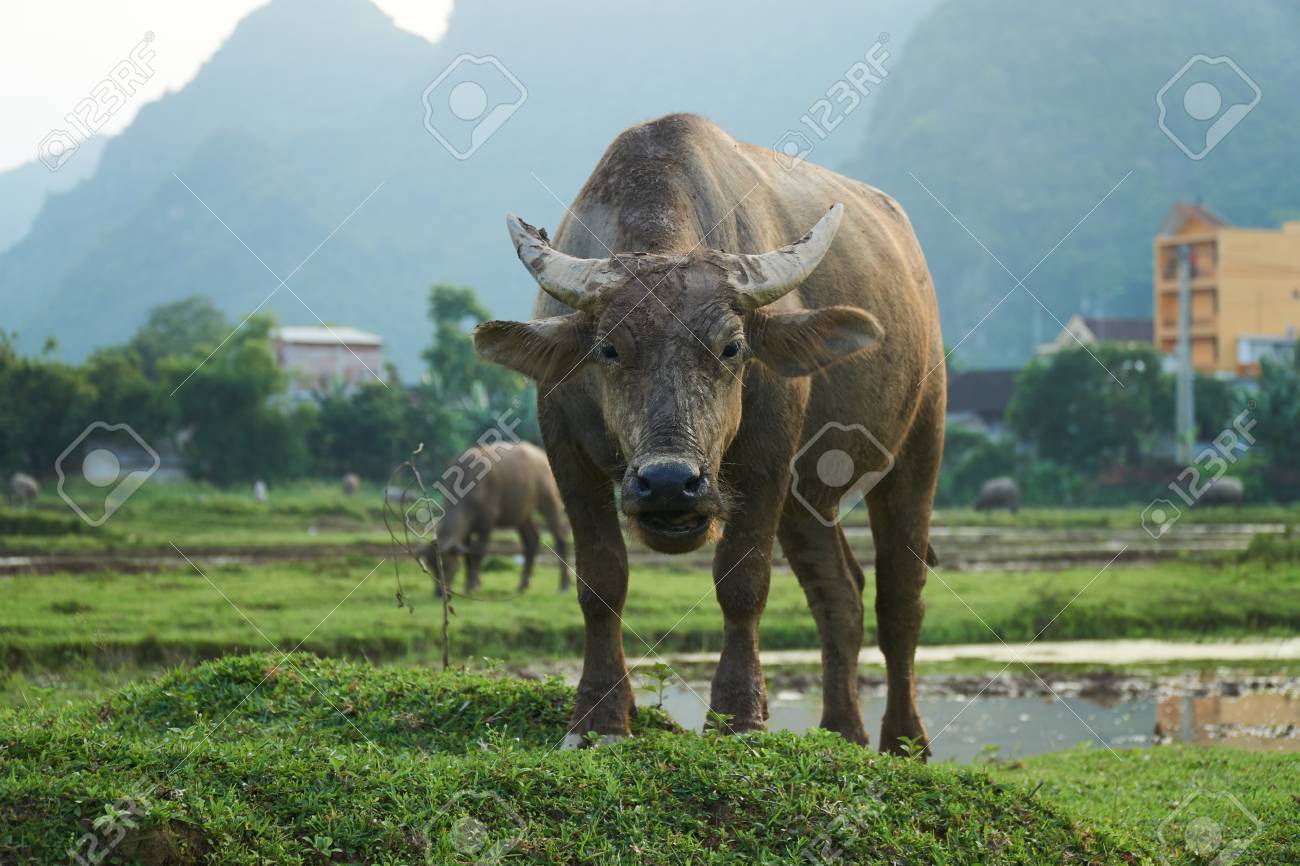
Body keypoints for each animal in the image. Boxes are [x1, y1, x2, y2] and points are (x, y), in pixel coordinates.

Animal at [427, 441, 570, 594]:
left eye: (446, 565)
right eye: (432, 566)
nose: (439, 592)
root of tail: (542, 456)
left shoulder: (487, 523)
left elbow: (478, 552)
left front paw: (472, 584)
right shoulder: (466, 530)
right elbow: (467, 556)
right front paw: (472, 583)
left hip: (549, 500)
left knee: (560, 538)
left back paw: (564, 584)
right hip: (522, 513)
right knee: (531, 540)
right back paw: (523, 584)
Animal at [476, 114, 944, 754]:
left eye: (732, 347)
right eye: (609, 348)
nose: (671, 483)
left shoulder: (766, 457)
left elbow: (742, 582)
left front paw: (739, 717)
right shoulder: (564, 448)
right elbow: (601, 579)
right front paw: (598, 718)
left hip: (919, 444)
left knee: (901, 595)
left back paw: (903, 742)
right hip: (807, 497)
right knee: (839, 591)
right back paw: (841, 732)